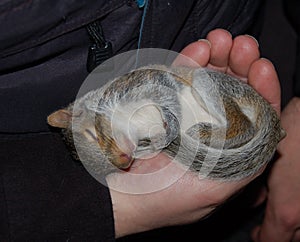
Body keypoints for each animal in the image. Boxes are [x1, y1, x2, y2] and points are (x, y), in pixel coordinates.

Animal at [47, 65, 286, 181]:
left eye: (92, 134)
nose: (125, 161)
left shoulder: (144, 82)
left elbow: (168, 94)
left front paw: (170, 130)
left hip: (209, 84)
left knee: (244, 126)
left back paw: (204, 132)